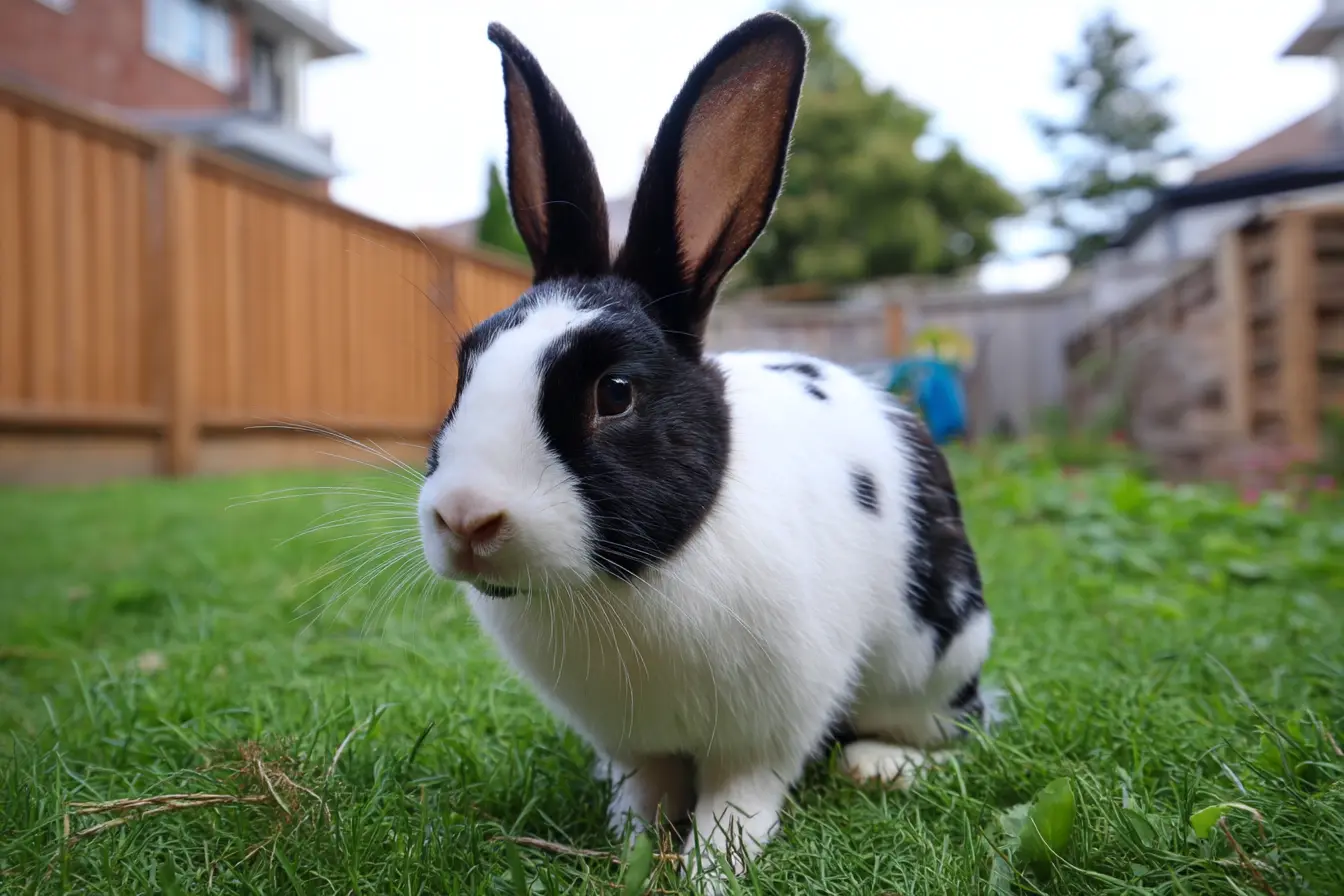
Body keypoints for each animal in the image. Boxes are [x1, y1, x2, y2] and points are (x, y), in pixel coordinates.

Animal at [416, 11, 994, 889]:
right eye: (466, 366)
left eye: (615, 392)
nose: (465, 517)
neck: (623, 581)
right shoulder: (635, 743)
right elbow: (644, 791)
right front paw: (628, 847)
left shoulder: (767, 730)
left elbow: (738, 803)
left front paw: (709, 871)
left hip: (933, 659)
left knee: (965, 733)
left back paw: (878, 765)